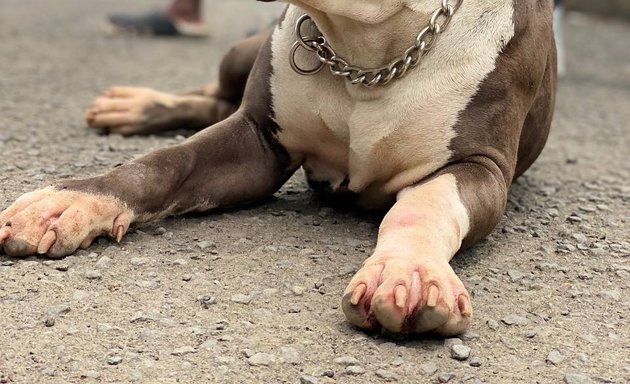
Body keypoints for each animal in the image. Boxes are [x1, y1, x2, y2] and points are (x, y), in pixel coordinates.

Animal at [0, 0, 556, 336]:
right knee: (212, 95)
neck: (370, 46)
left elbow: (425, 203)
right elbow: (165, 164)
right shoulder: (258, 141)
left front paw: (408, 271)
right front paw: (71, 201)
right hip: (241, 52)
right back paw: (136, 106)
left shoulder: (480, 166)